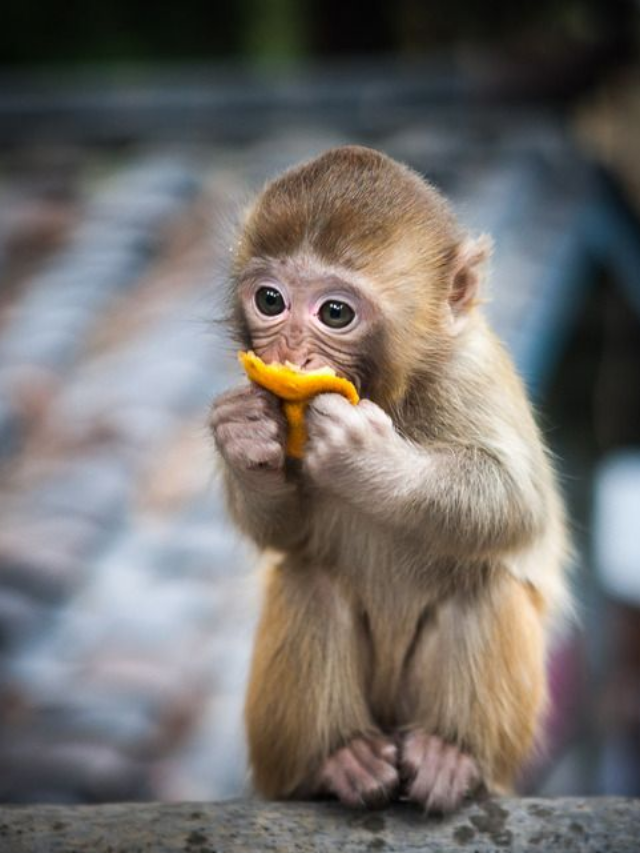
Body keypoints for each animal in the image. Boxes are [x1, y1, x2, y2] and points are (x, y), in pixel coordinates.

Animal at [211, 146, 568, 812]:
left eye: (335, 312)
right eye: (270, 301)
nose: (289, 353)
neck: (391, 393)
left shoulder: (471, 372)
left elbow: (517, 503)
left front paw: (367, 459)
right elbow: (284, 534)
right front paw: (245, 435)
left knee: (484, 584)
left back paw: (449, 754)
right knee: (310, 582)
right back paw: (338, 761)